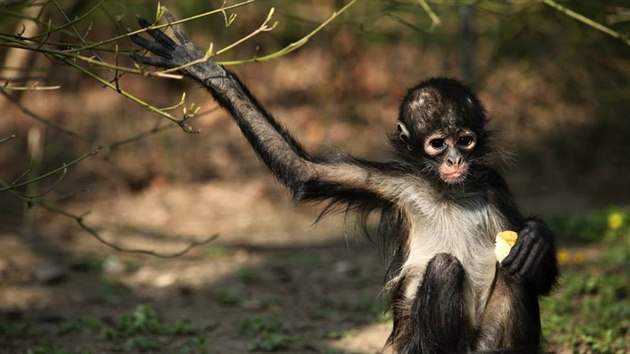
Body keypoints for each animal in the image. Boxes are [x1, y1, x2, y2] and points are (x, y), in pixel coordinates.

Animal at [132, 13, 556, 354]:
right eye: (437, 144)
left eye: (465, 140)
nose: (455, 160)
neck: (447, 192)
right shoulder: (397, 181)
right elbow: (303, 172)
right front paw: (203, 69)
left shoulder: (491, 183)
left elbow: (537, 272)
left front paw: (536, 235)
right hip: (416, 344)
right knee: (444, 266)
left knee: (515, 275)